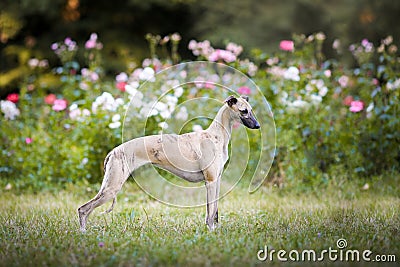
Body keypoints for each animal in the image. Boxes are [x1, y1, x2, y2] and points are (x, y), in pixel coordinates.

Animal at [78, 96, 260, 232]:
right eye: (244, 111)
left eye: (251, 110)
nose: (258, 126)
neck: (215, 136)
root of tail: (113, 152)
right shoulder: (210, 181)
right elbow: (209, 212)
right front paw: (210, 231)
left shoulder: (217, 180)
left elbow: (214, 211)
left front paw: (215, 229)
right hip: (111, 188)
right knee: (83, 209)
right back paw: (83, 233)